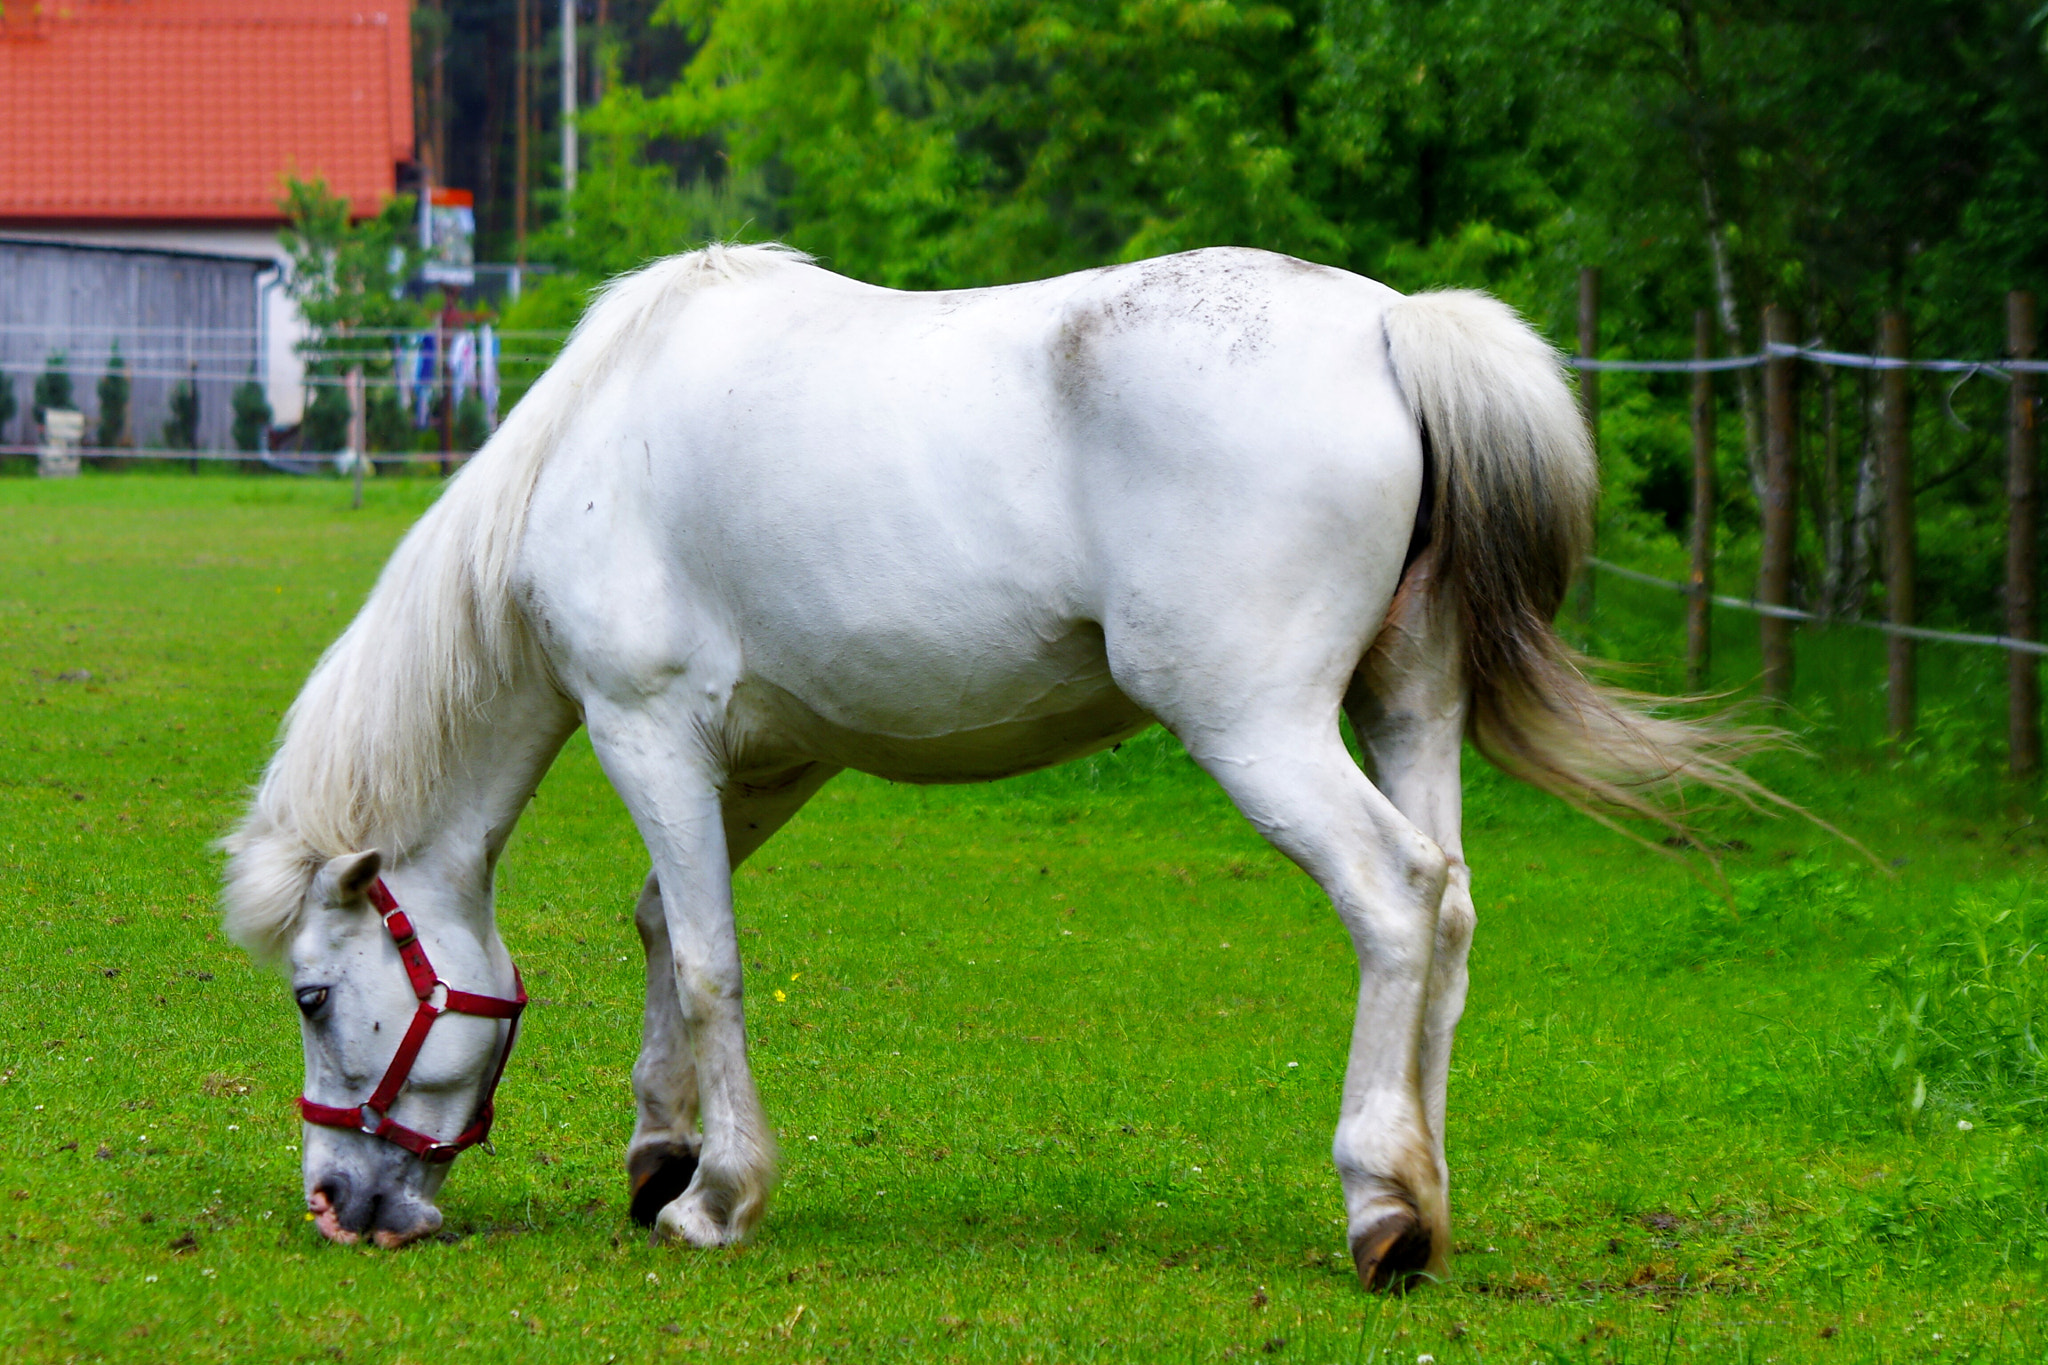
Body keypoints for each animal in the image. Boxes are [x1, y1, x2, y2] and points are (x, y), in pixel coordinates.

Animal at [228, 242, 1761, 1285]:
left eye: (313, 995)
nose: (333, 1205)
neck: (595, 441)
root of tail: (1390, 327)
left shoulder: (642, 725)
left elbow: (712, 962)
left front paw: (718, 1199)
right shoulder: (763, 760)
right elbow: (668, 926)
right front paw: (661, 1152)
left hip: (1259, 727)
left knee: (1392, 896)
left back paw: (1380, 1206)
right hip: (1407, 708)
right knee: (1447, 908)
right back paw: (1425, 1198)